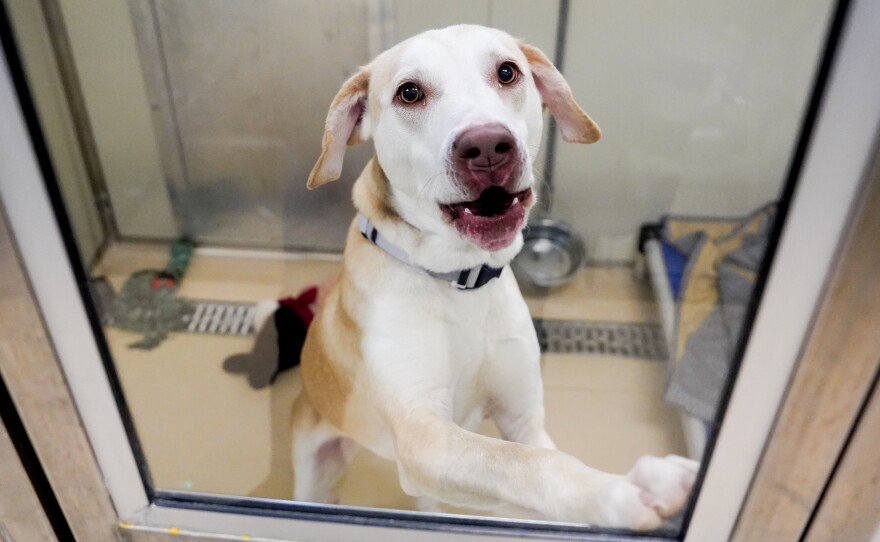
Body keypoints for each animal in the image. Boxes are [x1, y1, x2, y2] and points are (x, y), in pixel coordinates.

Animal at [292, 24, 696, 532]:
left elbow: (533, 467)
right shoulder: (427, 439)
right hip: (314, 473)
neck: (459, 280)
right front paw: (620, 492)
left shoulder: (523, 421)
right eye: (409, 93)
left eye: (507, 72)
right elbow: (526, 465)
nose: (486, 146)